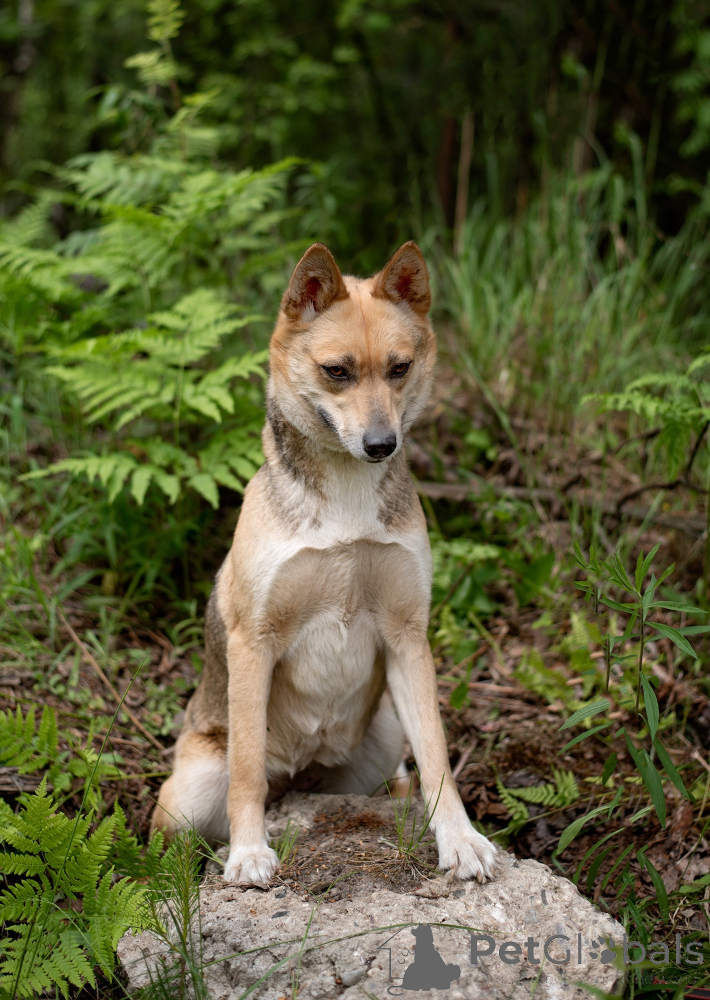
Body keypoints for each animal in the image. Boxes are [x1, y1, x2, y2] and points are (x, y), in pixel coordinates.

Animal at [151, 241, 497, 884]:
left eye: (400, 368)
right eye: (337, 371)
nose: (382, 445)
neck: (346, 501)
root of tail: (301, 773)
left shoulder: (408, 637)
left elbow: (438, 760)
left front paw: (460, 841)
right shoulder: (253, 641)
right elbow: (246, 774)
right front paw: (249, 852)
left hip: (381, 740)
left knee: (397, 780)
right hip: (187, 798)